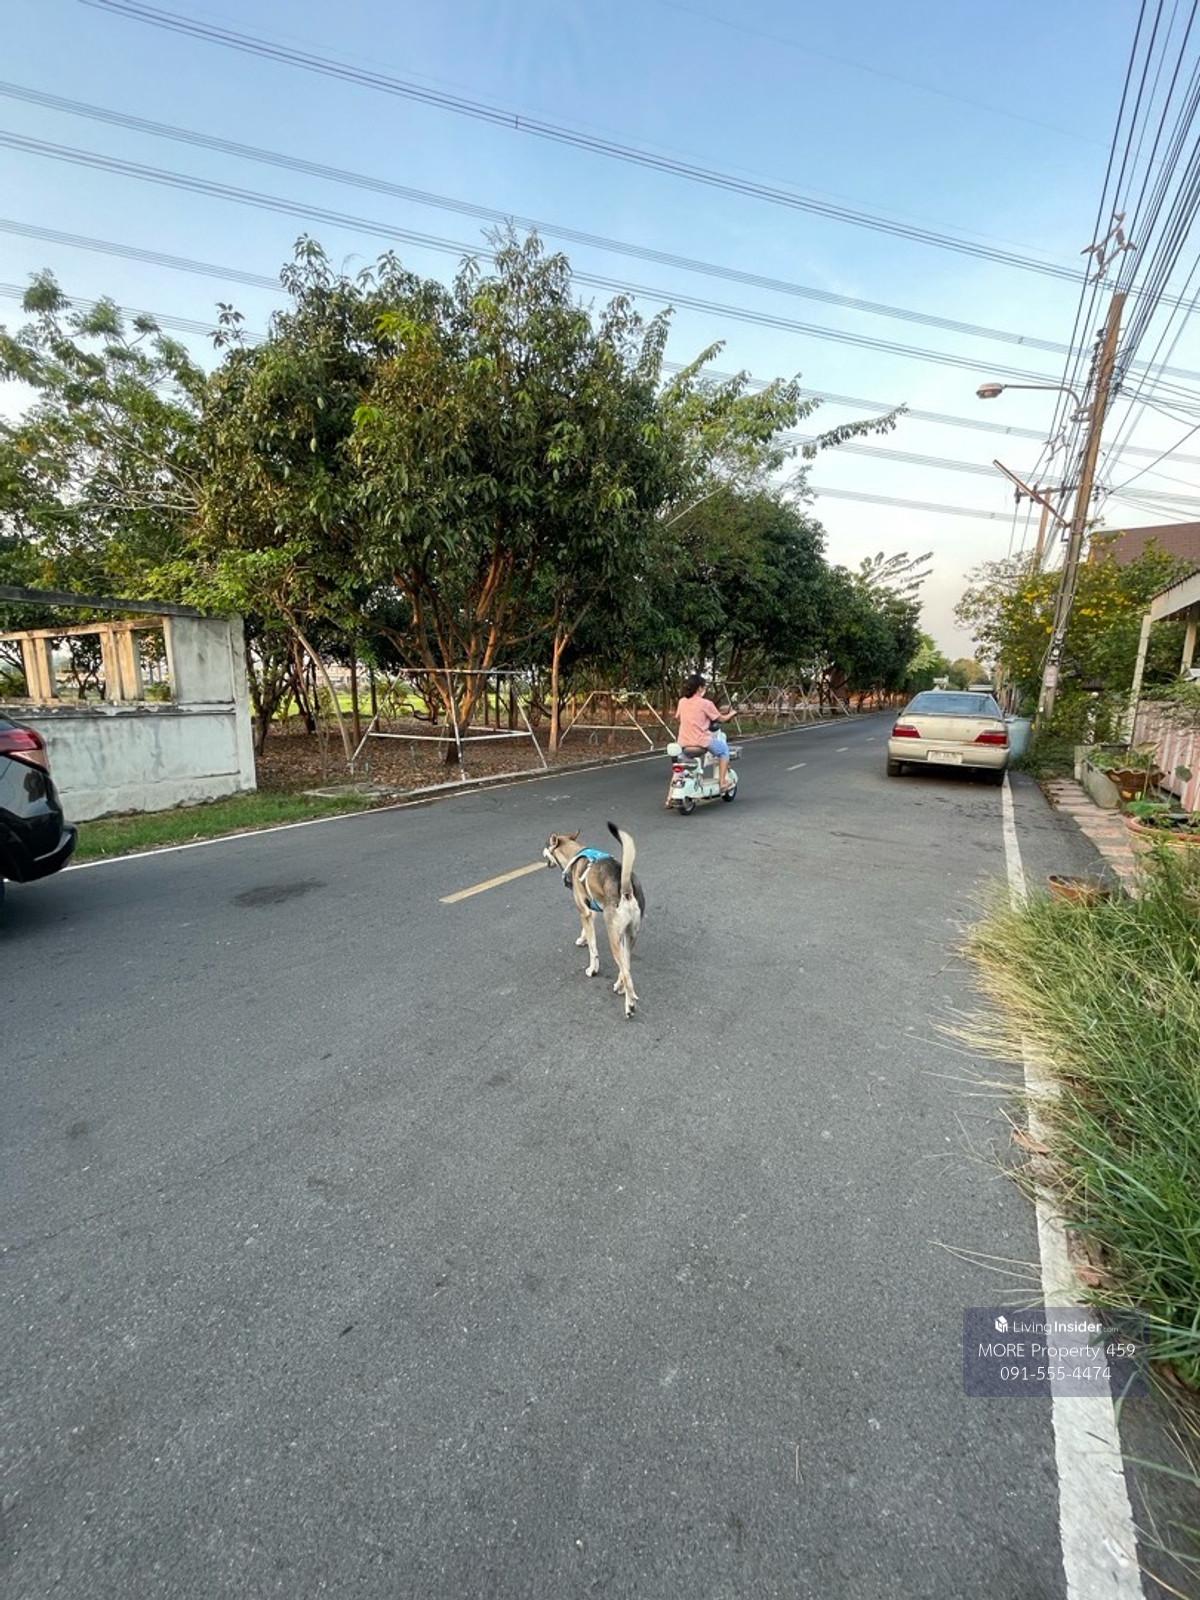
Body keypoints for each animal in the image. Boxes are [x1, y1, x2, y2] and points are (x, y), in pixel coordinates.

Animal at [543, 821, 645, 1017]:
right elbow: (587, 933)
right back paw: (620, 986)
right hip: (629, 936)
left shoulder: (584, 912)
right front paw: (582, 939)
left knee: (626, 972)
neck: (574, 854)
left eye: (546, 844)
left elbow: (593, 949)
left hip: (614, 936)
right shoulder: (591, 911)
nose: (542, 852)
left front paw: (592, 969)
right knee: (626, 966)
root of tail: (626, 890)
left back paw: (629, 1004)